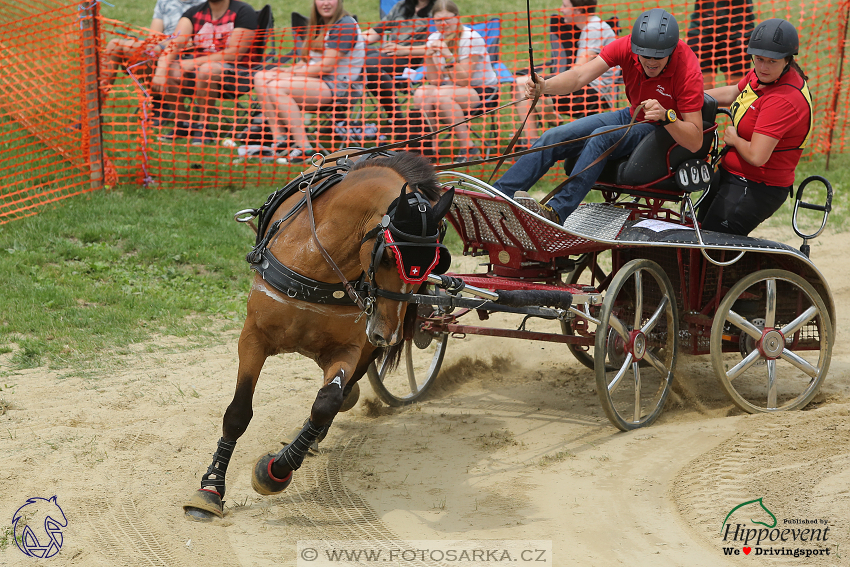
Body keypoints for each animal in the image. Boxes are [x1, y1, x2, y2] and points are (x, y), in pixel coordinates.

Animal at [183, 152, 454, 524]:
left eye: (432, 263)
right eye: (386, 255)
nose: (388, 333)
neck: (317, 264)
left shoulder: (351, 347)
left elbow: (327, 403)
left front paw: (277, 470)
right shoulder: (253, 336)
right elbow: (238, 413)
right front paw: (210, 488)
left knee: (342, 394)